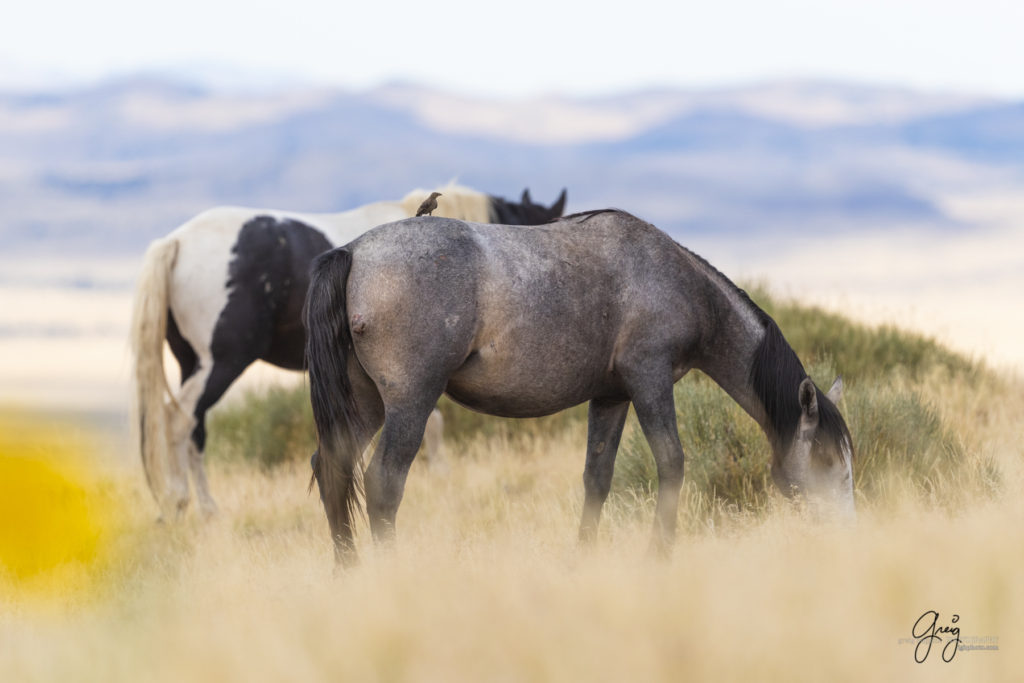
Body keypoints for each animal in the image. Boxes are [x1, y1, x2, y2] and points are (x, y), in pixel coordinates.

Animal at [130, 184, 569, 520]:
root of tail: (177, 241)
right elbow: (433, 425)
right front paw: (442, 480)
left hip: (192, 362)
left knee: (192, 427)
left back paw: (197, 508)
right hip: (222, 362)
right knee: (180, 420)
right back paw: (186, 504)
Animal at [303, 210, 856, 565]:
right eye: (829, 459)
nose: (847, 536)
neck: (676, 279)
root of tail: (353, 252)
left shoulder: (611, 397)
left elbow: (597, 478)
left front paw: (584, 558)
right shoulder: (650, 379)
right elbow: (672, 462)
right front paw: (659, 555)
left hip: (366, 405)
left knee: (332, 470)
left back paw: (347, 572)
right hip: (410, 403)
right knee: (383, 483)